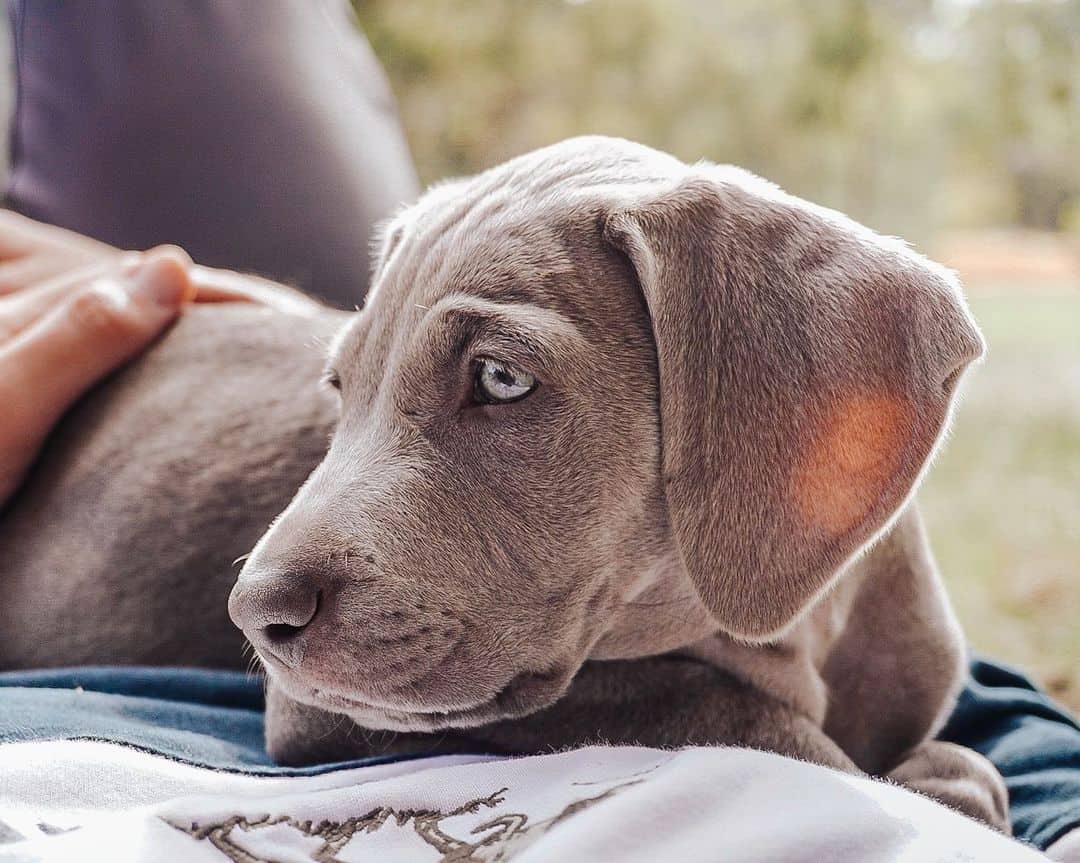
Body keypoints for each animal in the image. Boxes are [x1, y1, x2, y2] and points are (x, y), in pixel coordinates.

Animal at [0, 138, 1010, 833]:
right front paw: (934, 784)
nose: (255, 613)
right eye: (341, 386)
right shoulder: (325, 710)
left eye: (499, 377)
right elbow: (715, 704)